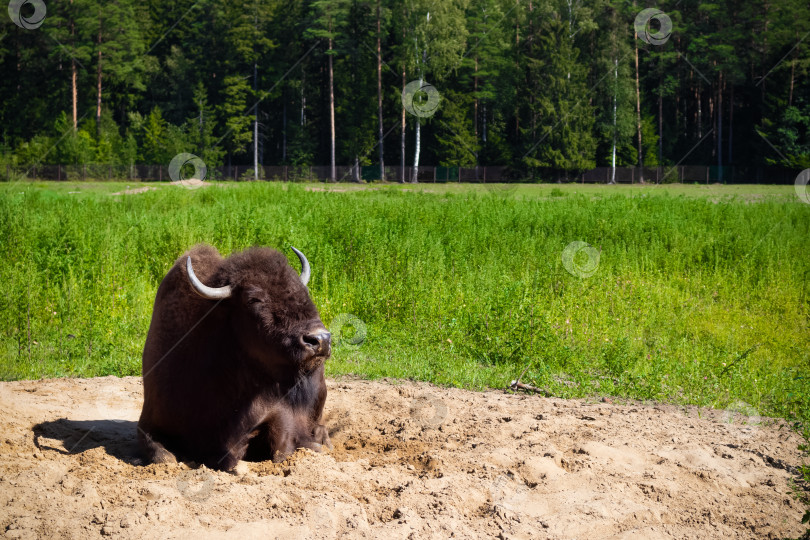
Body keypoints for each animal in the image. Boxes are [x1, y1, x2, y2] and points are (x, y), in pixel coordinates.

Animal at [136, 243, 332, 470]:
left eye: (303, 290)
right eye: (253, 299)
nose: (320, 339)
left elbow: (282, 449)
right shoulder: (149, 421)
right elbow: (163, 456)